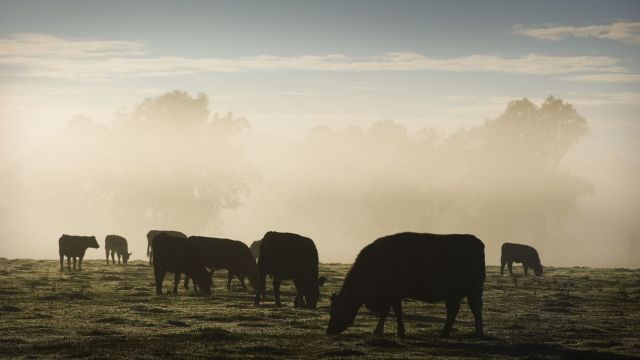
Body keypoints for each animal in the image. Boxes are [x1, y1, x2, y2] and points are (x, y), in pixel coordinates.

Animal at [324, 233, 484, 338]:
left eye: (337, 310)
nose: (329, 331)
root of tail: (477, 242)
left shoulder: (392, 296)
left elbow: (393, 312)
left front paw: (391, 331)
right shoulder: (391, 297)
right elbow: (391, 312)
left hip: (464, 292)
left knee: (468, 308)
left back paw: (459, 332)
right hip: (463, 293)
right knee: (464, 309)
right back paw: (468, 332)